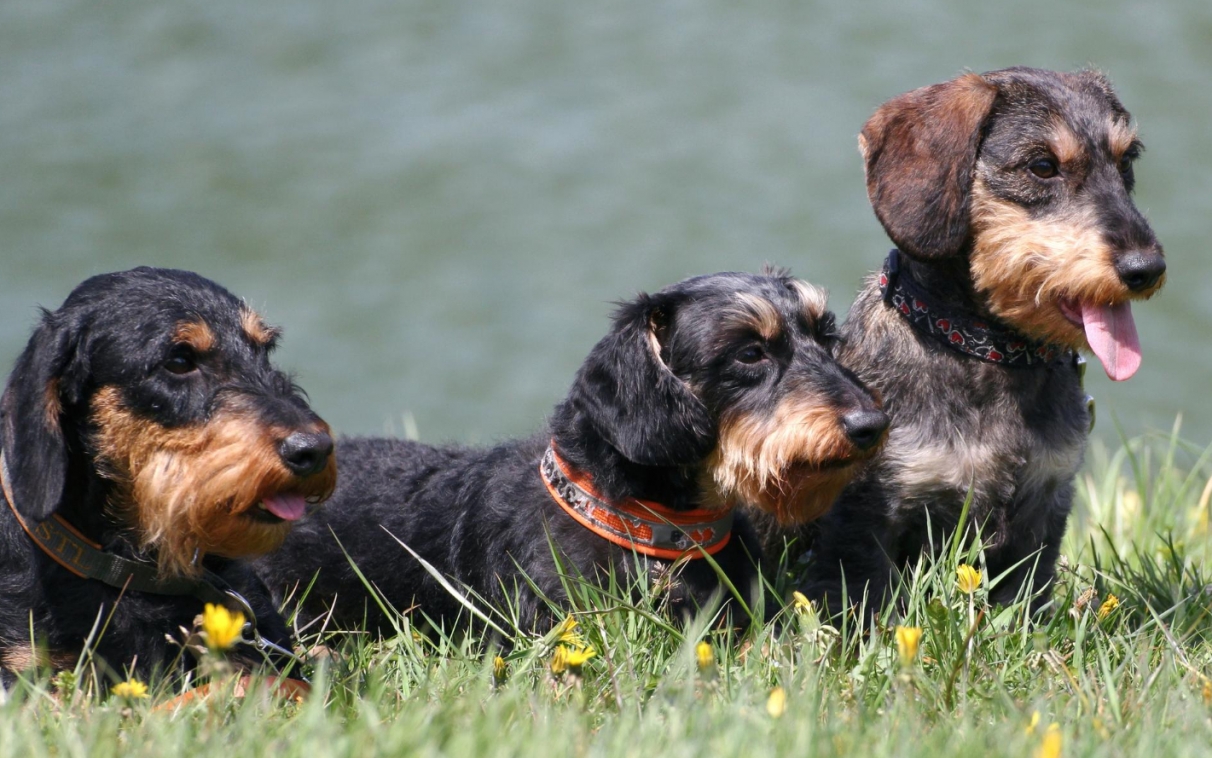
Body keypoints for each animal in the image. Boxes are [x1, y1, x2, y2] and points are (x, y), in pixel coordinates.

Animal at [775, 67, 1163, 616]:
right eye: (1042, 166)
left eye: (1126, 160)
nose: (1146, 268)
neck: (989, 351)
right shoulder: (870, 513)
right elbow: (864, 592)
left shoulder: (1045, 505)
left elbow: (1024, 599)